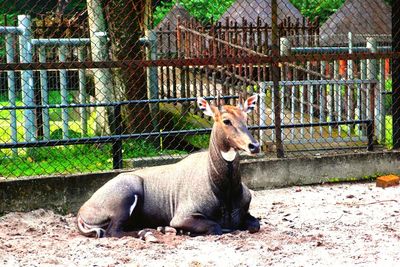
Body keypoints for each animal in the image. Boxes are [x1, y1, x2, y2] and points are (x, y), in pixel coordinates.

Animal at [76, 96, 260, 239]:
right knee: (113, 232)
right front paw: (184, 232)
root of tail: (82, 211)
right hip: (127, 196)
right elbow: (216, 227)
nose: (254, 146)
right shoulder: (182, 217)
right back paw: (149, 233)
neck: (222, 189)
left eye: (245, 118)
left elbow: (255, 225)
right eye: (226, 120)